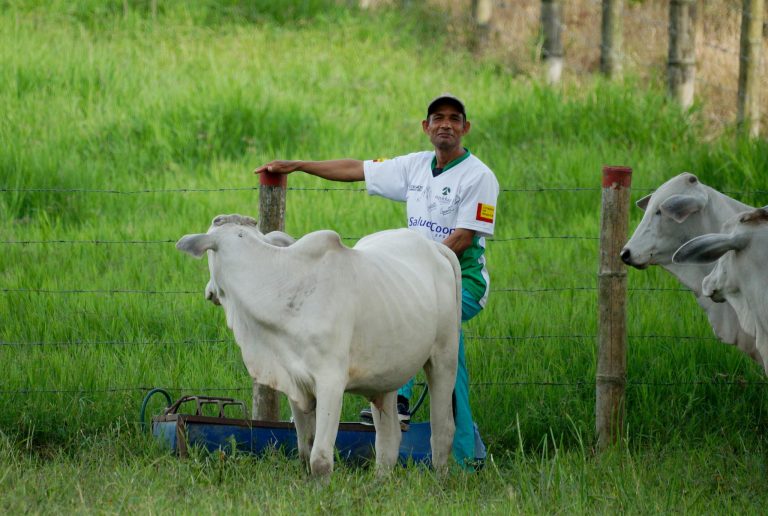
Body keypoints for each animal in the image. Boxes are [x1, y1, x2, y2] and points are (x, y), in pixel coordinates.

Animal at [176, 214, 460, 480]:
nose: (210, 291)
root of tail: (435, 248)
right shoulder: (292, 382)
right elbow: (305, 450)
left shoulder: (330, 383)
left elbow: (320, 458)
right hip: (387, 375)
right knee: (389, 440)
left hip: (444, 358)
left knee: (442, 431)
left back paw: (440, 480)